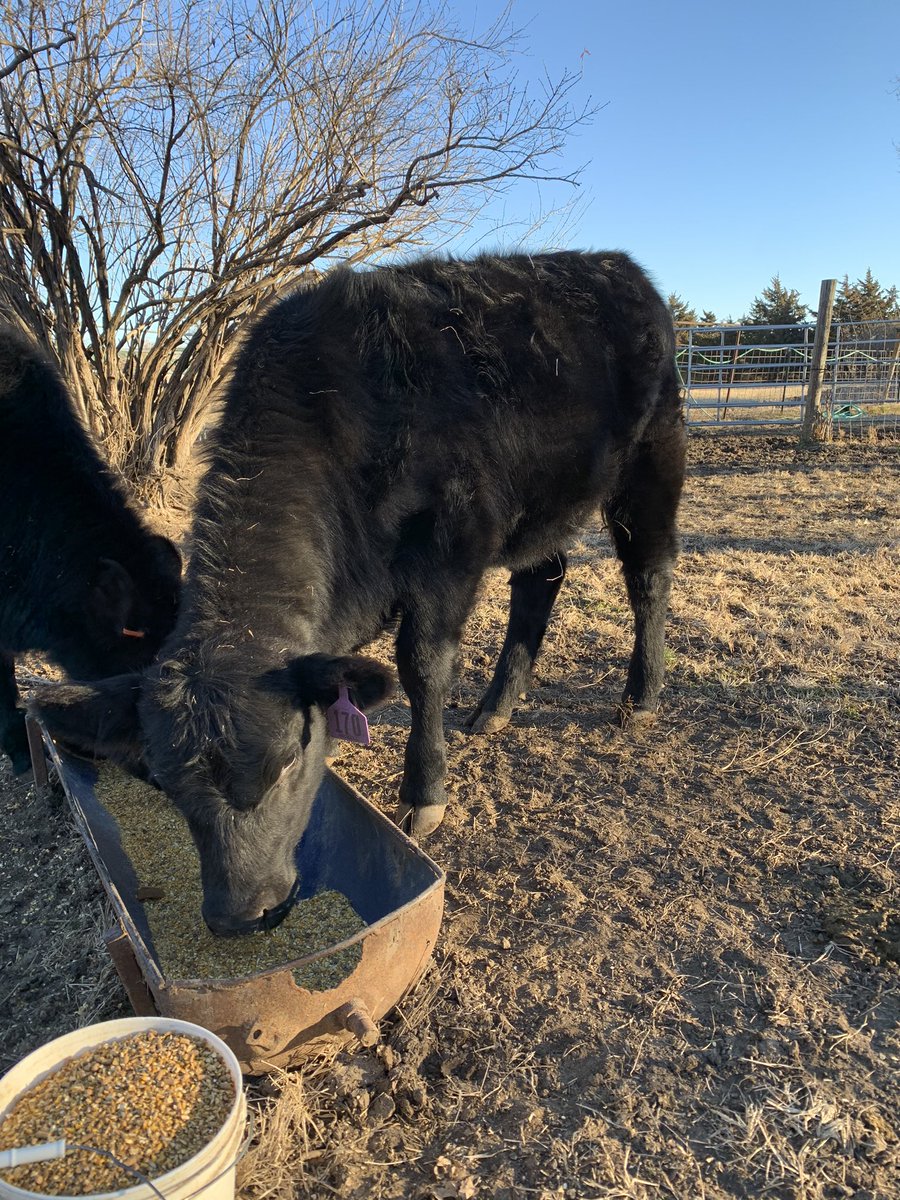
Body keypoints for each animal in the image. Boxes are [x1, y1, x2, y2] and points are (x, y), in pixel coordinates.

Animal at [32, 251, 686, 935]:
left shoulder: (451, 550)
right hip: (540, 512)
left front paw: (425, 795)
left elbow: (423, 666)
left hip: (650, 466)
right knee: (541, 580)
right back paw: (495, 707)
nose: (241, 914)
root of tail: (617, 267)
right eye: (163, 782)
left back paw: (641, 695)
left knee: (648, 575)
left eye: (287, 760)